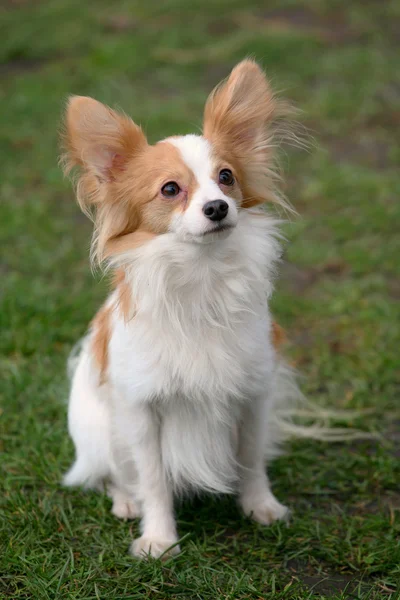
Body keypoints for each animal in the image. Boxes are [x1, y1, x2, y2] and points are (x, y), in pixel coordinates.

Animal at [61, 59, 304, 556]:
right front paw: (159, 538)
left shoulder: (254, 394)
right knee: (111, 474)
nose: (217, 207)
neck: (201, 279)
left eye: (227, 177)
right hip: (97, 433)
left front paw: (260, 507)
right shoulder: (141, 409)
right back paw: (125, 501)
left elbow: (251, 459)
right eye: (170, 189)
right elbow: (153, 478)